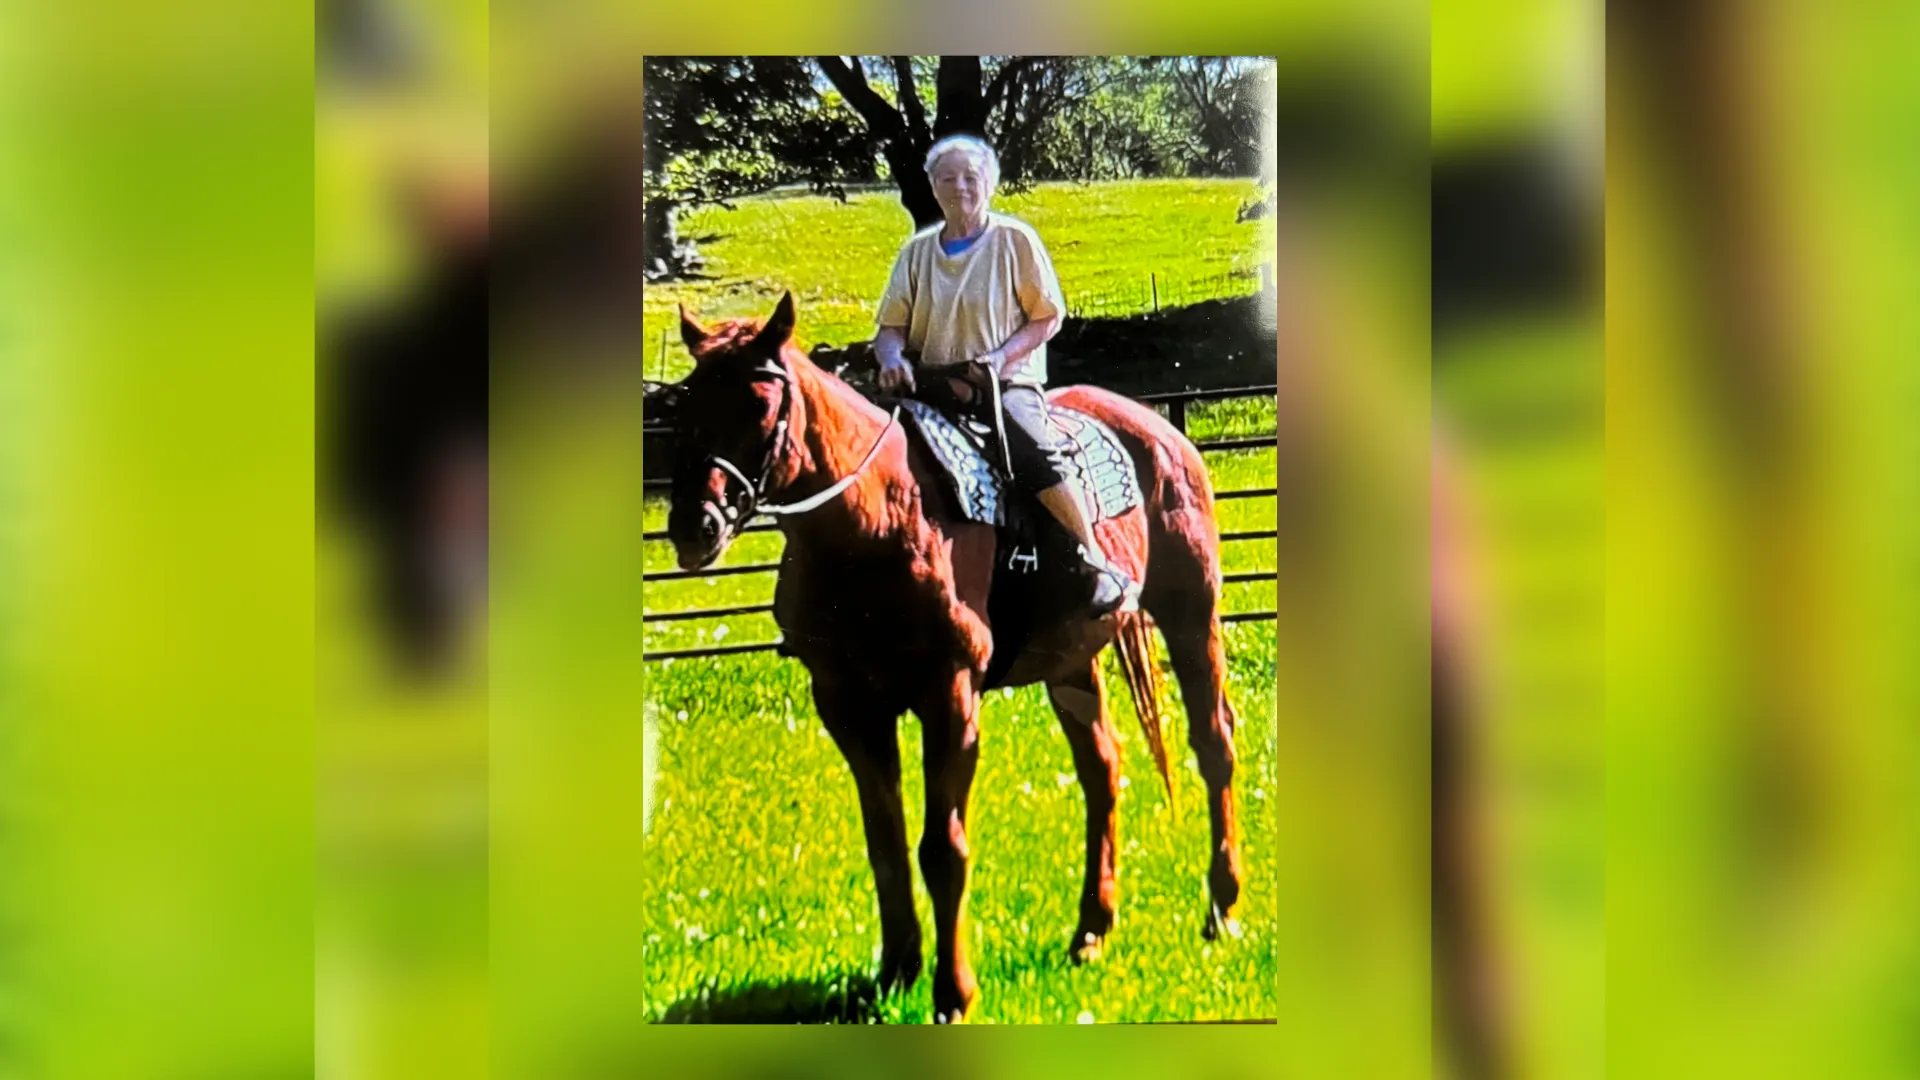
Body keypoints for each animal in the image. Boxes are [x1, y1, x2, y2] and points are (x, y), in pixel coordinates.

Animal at [659, 292, 1242, 1023]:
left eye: (761, 403)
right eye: (686, 402)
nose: (694, 525)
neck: (876, 524)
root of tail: (1160, 430)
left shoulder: (950, 696)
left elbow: (943, 847)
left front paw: (952, 992)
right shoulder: (847, 706)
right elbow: (884, 844)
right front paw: (895, 973)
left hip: (1192, 613)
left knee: (1214, 743)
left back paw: (1221, 909)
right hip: (1071, 661)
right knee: (1102, 771)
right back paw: (1091, 930)